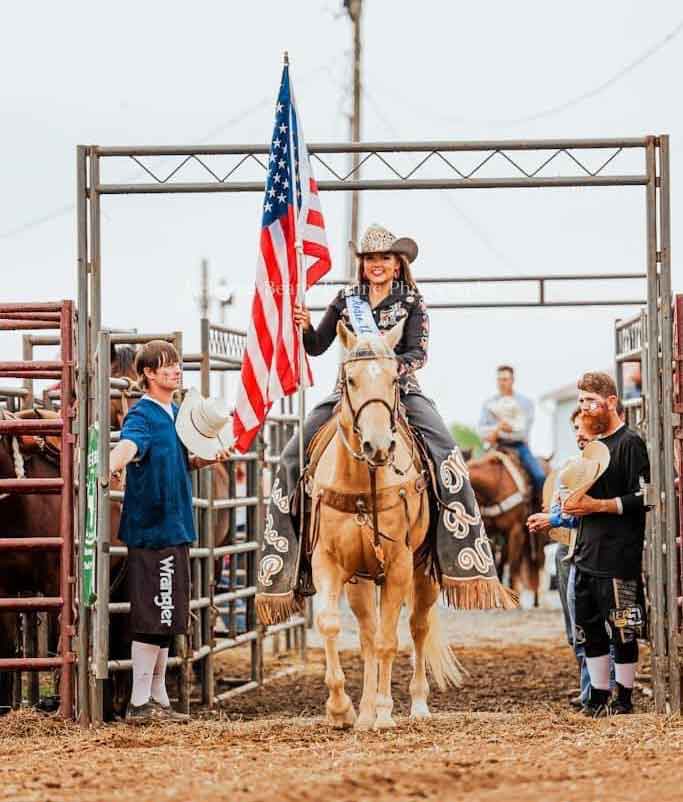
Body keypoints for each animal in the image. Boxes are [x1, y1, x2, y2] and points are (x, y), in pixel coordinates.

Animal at [312, 322, 462, 728]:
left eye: (394, 378)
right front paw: (341, 709)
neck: (363, 484)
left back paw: (417, 705)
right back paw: (362, 712)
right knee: (366, 634)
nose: (378, 446)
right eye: (349, 379)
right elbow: (331, 624)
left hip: (423, 573)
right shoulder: (328, 562)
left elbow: (388, 640)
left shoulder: (398, 565)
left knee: (416, 628)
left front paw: (383, 712)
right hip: (361, 580)